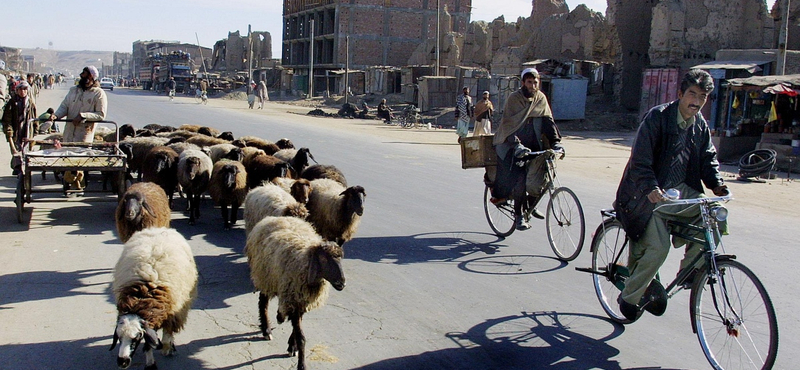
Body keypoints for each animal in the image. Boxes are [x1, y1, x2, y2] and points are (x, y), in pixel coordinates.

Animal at [110, 227, 198, 370]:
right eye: (119, 337)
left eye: (136, 337)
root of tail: (158, 229)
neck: (143, 296)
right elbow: (149, 343)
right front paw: (151, 363)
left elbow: (162, 337)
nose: (122, 362)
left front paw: (165, 349)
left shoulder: (172, 313)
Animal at [244, 215, 344, 368]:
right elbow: (301, 337)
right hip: (265, 276)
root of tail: (273, 218)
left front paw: (292, 346)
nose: (342, 283)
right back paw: (266, 330)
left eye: (341, 258)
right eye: (322, 258)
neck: (305, 263)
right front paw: (301, 364)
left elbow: (296, 331)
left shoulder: (300, 301)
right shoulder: (293, 299)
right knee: (263, 303)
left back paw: (278, 317)